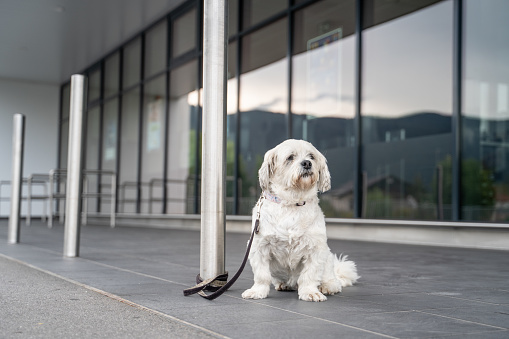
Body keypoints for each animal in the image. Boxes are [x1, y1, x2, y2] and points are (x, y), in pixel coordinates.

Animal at [241, 140, 358, 302]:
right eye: (290, 157)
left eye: (311, 156)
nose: (307, 163)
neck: (292, 202)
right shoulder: (259, 247)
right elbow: (261, 275)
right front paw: (257, 291)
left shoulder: (315, 249)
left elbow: (309, 275)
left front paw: (310, 292)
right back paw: (284, 285)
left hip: (327, 258)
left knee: (331, 280)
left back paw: (327, 286)